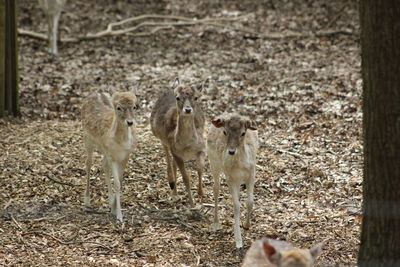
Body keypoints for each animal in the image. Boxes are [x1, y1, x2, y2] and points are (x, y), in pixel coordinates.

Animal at [80, 87, 138, 222]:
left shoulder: (125, 155)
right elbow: (117, 183)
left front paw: (113, 208)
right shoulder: (112, 156)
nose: (130, 122)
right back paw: (87, 200)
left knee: (103, 164)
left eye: (134, 106)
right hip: (87, 138)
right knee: (88, 163)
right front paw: (119, 216)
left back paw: (110, 202)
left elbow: (120, 181)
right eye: (118, 107)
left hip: (103, 149)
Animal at [150, 77, 206, 207]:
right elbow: (186, 178)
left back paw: (175, 192)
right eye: (178, 97)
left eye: (196, 97)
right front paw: (192, 203)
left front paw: (201, 194)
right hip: (162, 140)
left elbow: (200, 168)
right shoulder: (175, 150)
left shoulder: (202, 147)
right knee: (169, 162)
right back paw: (172, 188)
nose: (188, 109)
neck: (187, 145)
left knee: (173, 163)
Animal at [206, 113, 260, 249]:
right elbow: (236, 205)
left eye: (243, 133)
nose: (231, 151)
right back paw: (216, 223)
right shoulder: (230, 177)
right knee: (216, 188)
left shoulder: (252, 173)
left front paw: (246, 225)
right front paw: (238, 241)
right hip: (213, 162)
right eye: (225, 131)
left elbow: (250, 202)